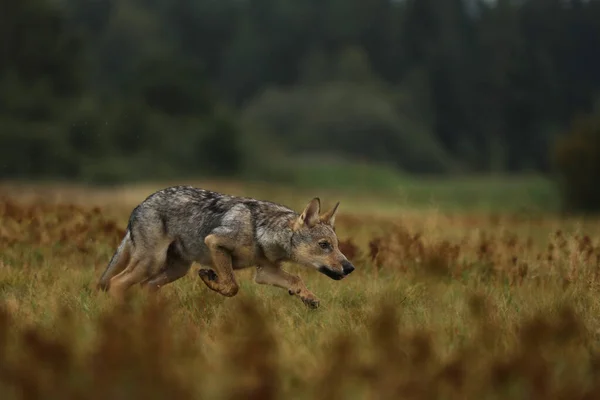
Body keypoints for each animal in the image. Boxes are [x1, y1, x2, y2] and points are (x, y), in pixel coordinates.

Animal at [95, 186, 354, 308]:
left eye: (337, 246)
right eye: (324, 245)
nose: (350, 267)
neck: (262, 230)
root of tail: (139, 206)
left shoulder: (264, 271)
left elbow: (296, 280)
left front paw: (308, 298)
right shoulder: (215, 242)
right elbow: (232, 286)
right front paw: (210, 279)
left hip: (176, 269)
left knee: (145, 286)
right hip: (152, 262)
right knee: (116, 282)